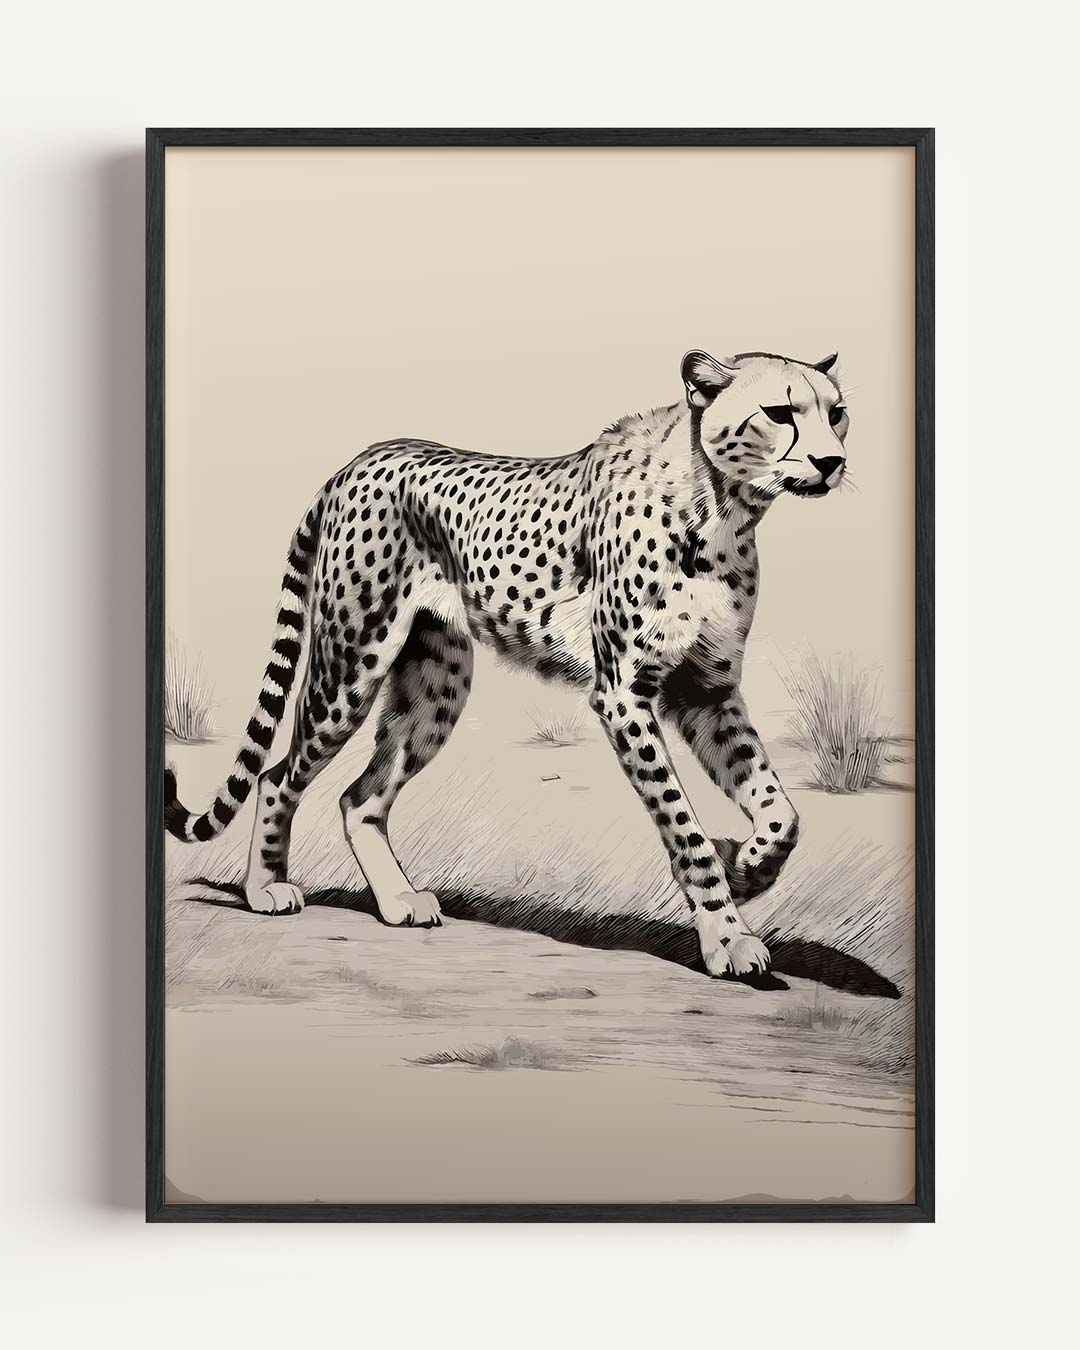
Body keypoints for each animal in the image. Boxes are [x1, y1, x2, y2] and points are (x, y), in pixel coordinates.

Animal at [165, 348, 849, 978]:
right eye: (781, 412)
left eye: (837, 413)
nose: (832, 462)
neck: (721, 506)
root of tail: (359, 460)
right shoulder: (624, 694)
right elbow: (686, 830)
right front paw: (727, 936)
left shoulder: (706, 689)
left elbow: (781, 811)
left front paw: (749, 867)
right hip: (349, 668)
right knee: (277, 773)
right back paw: (264, 888)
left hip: (435, 688)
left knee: (360, 798)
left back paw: (397, 901)